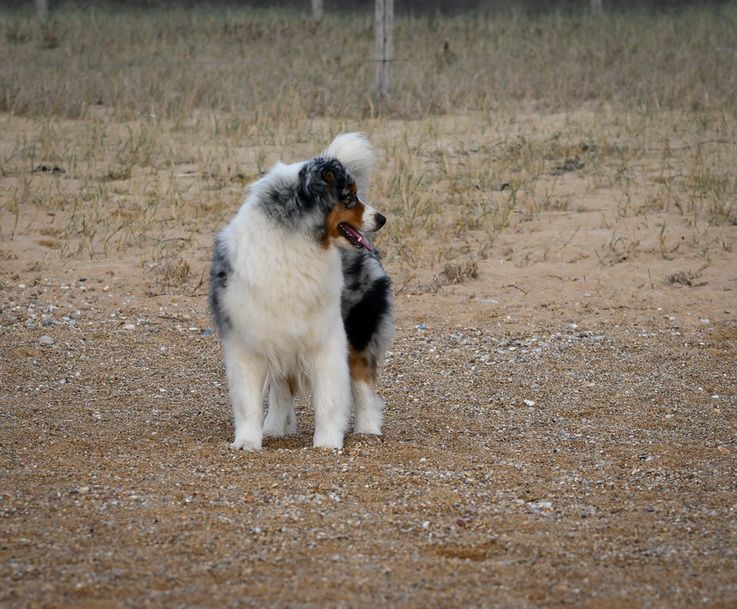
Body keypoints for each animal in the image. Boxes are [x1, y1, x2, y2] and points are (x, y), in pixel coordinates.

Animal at [207, 132, 394, 446]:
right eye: (348, 198)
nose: (381, 218)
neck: (296, 242)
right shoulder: (246, 337)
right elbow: (247, 399)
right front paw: (247, 441)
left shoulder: (326, 337)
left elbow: (329, 397)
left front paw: (327, 442)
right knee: (282, 386)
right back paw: (274, 427)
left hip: (359, 329)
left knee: (362, 382)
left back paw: (368, 429)